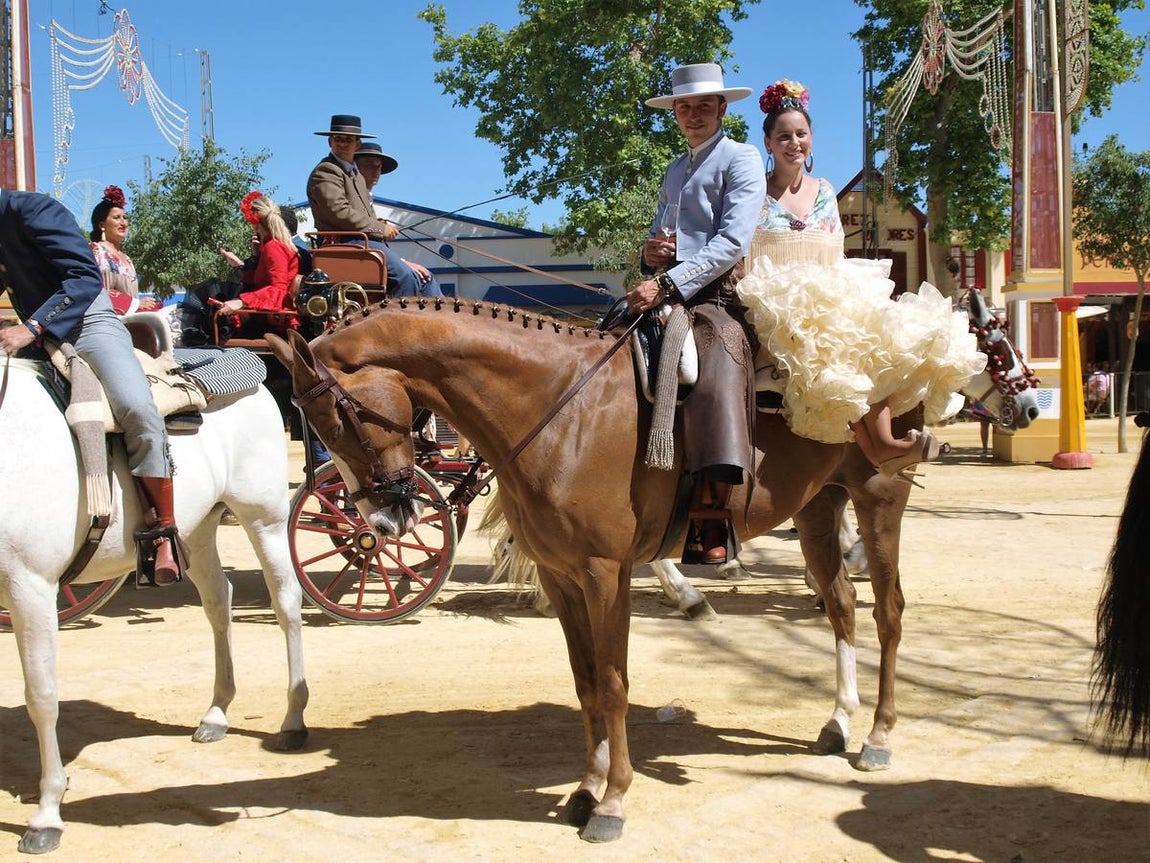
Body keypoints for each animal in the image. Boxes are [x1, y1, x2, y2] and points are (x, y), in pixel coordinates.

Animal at [0, 357, 309, 855]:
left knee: (285, 603)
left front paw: (47, 814)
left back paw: (293, 719)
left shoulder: (31, 586)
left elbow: (42, 697)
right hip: (198, 526)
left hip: (263, 517)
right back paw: (217, 712)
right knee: (218, 600)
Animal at [265, 293, 997, 842]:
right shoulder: (560, 576)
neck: (561, 407)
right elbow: (586, 682)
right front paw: (586, 788)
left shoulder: (602, 572)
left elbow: (614, 684)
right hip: (820, 507)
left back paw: (877, 735)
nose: (385, 521)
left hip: (879, 499)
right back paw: (839, 721)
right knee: (843, 605)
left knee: (889, 612)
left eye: (339, 415)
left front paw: (613, 800)